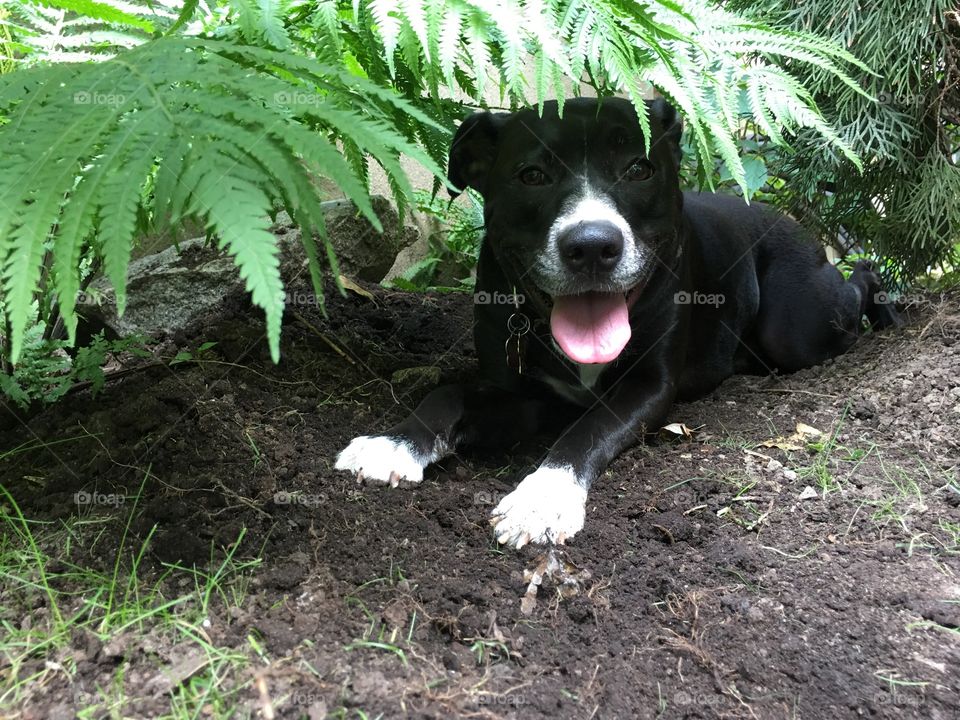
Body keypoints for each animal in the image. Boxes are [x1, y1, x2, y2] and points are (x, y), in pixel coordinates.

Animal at [334, 95, 896, 544]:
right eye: (532, 175)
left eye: (639, 169)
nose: (591, 246)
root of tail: (787, 218)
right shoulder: (526, 396)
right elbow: (448, 394)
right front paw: (393, 443)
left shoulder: (648, 387)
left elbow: (587, 429)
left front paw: (543, 497)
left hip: (798, 327)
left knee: (858, 283)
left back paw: (889, 302)